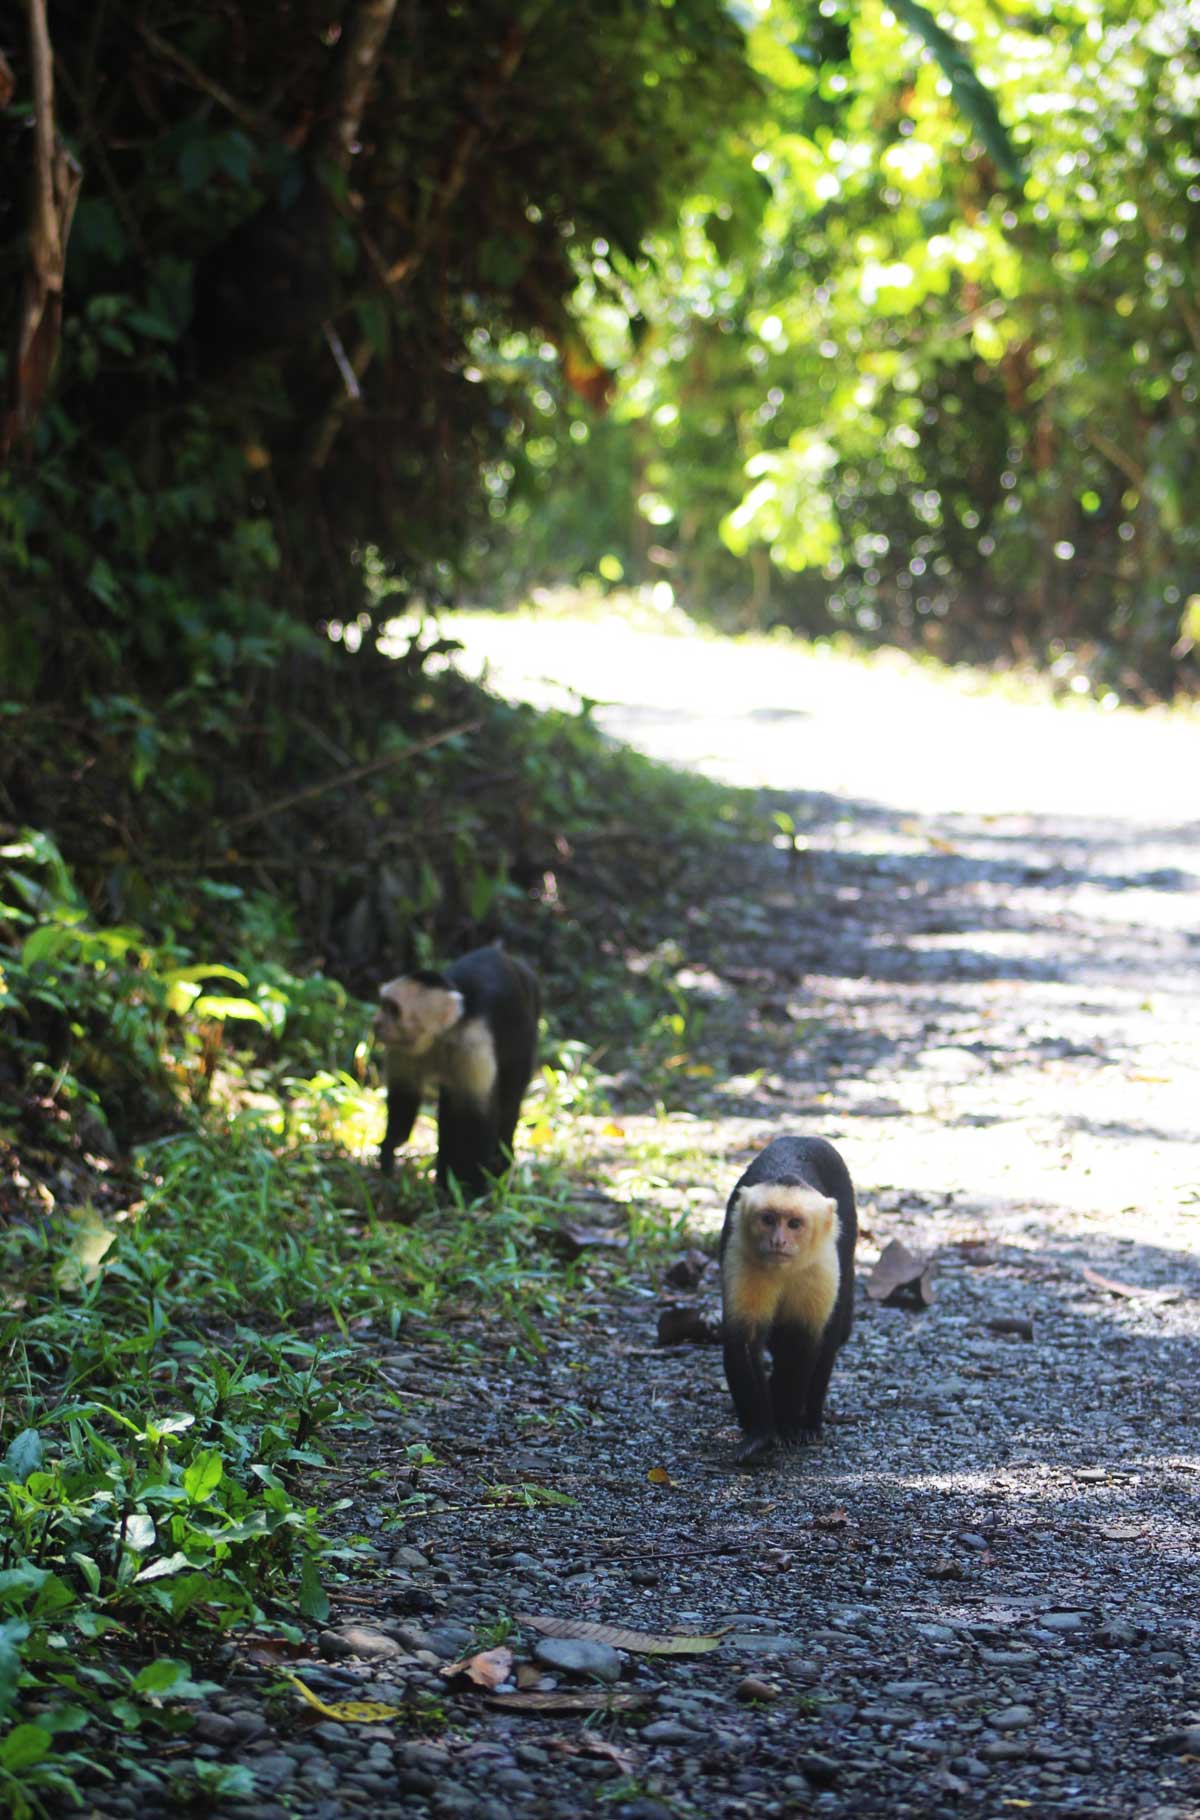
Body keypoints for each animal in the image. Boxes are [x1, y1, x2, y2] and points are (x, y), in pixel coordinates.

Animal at [375, 946, 546, 1201]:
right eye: (384, 1004)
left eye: (394, 1010)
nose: (376, 1022)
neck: (442, 1034)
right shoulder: (402, 1047)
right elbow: (404, 1095)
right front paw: (390, 1148)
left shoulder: (473, 1044)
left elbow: (478, 1117)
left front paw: (473, 1190)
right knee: (450, 1105)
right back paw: (444, 1180)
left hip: (525, 1035)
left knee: (508, 1099)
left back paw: (499, 1168)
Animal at [717, 1135, 859, 1463]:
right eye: (768, 1220)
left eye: (794, 1224)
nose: (777, 1241)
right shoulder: (741, 1254)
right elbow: (745, 1339)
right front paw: (761, 1433)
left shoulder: (821, 1266)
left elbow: (804, 1341)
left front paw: (789, 1426)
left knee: (831, 1336)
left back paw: (809, 1421)